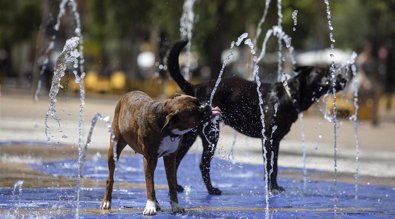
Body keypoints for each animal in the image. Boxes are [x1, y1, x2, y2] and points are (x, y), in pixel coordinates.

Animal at [169, 39, 348, 195]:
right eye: (326, 73)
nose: (345, 79)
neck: (288, 96)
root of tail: (196, 88)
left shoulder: (276, 141)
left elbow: (274, 166)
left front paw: (274, 188)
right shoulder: (268, 139)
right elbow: (269, 166)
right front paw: (270, 190)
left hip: (190, 136)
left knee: (176, 160)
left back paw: (177, 187)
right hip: (211, 134)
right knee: (203, 164)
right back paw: (212, 190)